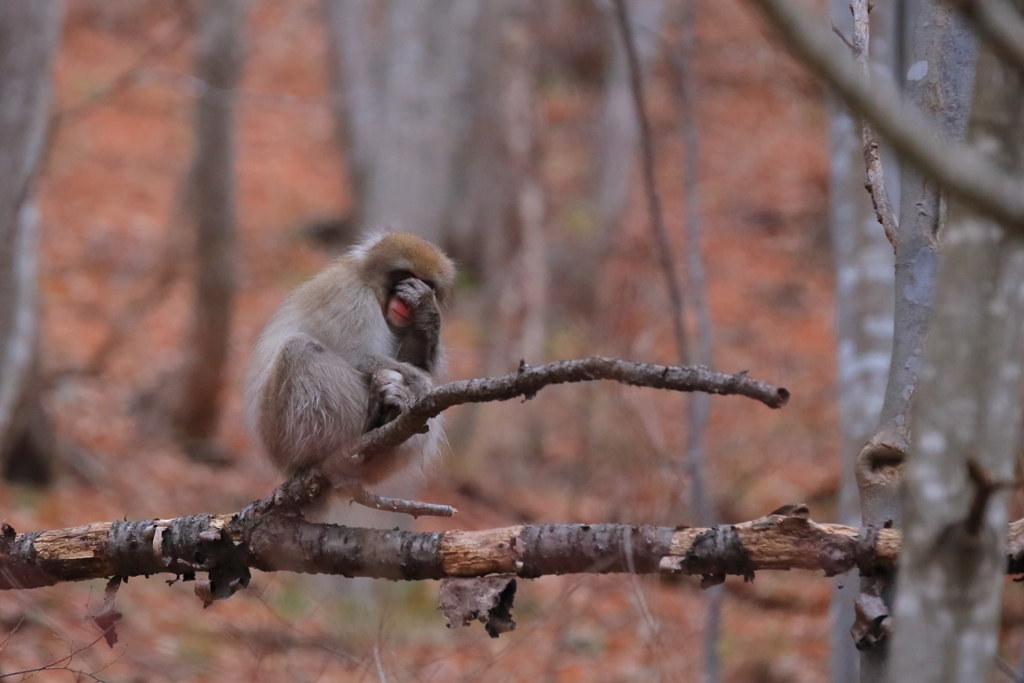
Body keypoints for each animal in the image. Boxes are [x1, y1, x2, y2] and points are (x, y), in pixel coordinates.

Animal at [241, 232, 454, 489]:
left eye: (427, 284)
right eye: (405, 276)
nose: (406, 305)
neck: (372, 287)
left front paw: (426, 315)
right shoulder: (351, 294)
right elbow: (357, 355)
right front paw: (421, 384)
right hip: (282, 432)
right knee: (300, 351)